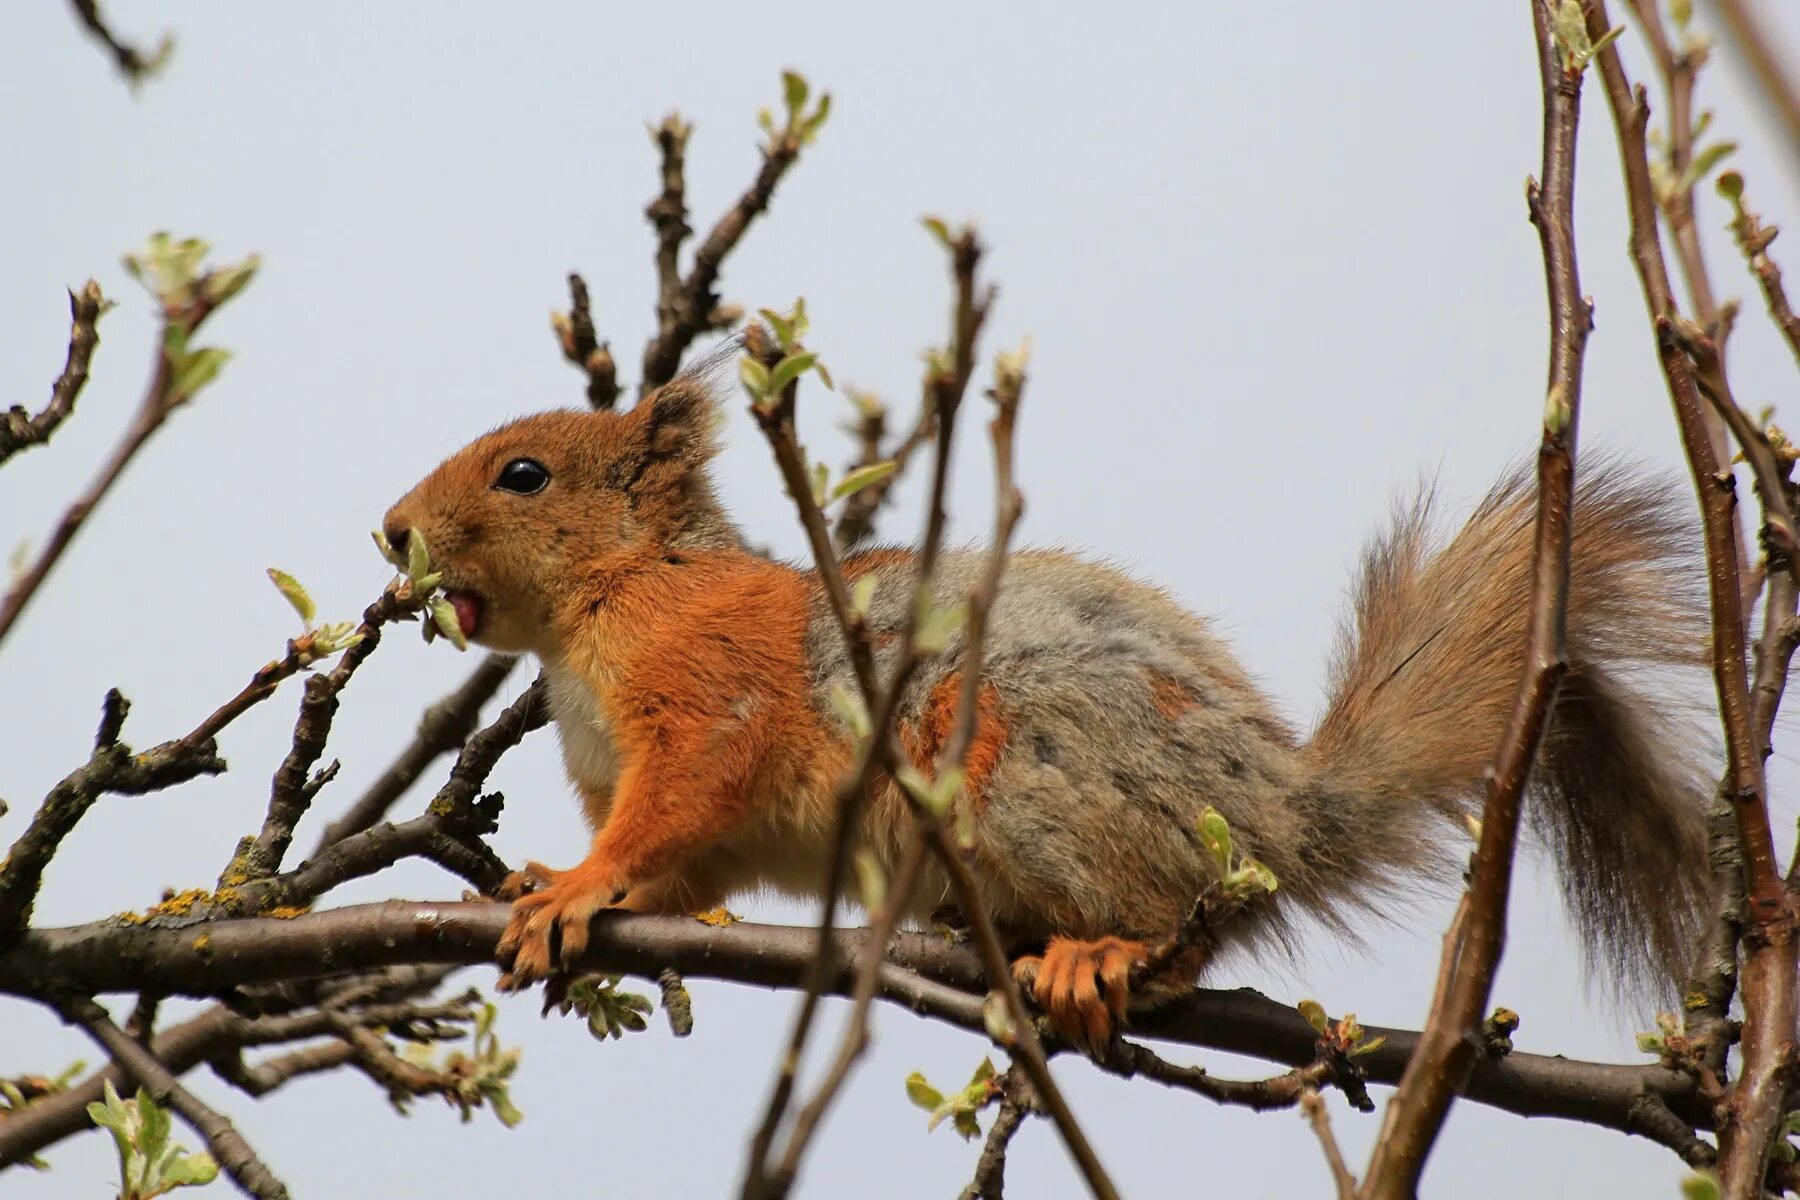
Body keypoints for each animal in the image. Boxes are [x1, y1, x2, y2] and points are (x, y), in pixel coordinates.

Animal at [383, 367, 1713, 1050]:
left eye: (522, 474)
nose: (390, 530)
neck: (608, 607)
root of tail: (1282, 816)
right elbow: (680, 871)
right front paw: (551, 884)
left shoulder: (709, 702)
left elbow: (671, 812)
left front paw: (573, 888)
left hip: (1030, 770)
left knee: (1189, 928)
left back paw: (1104, 954)